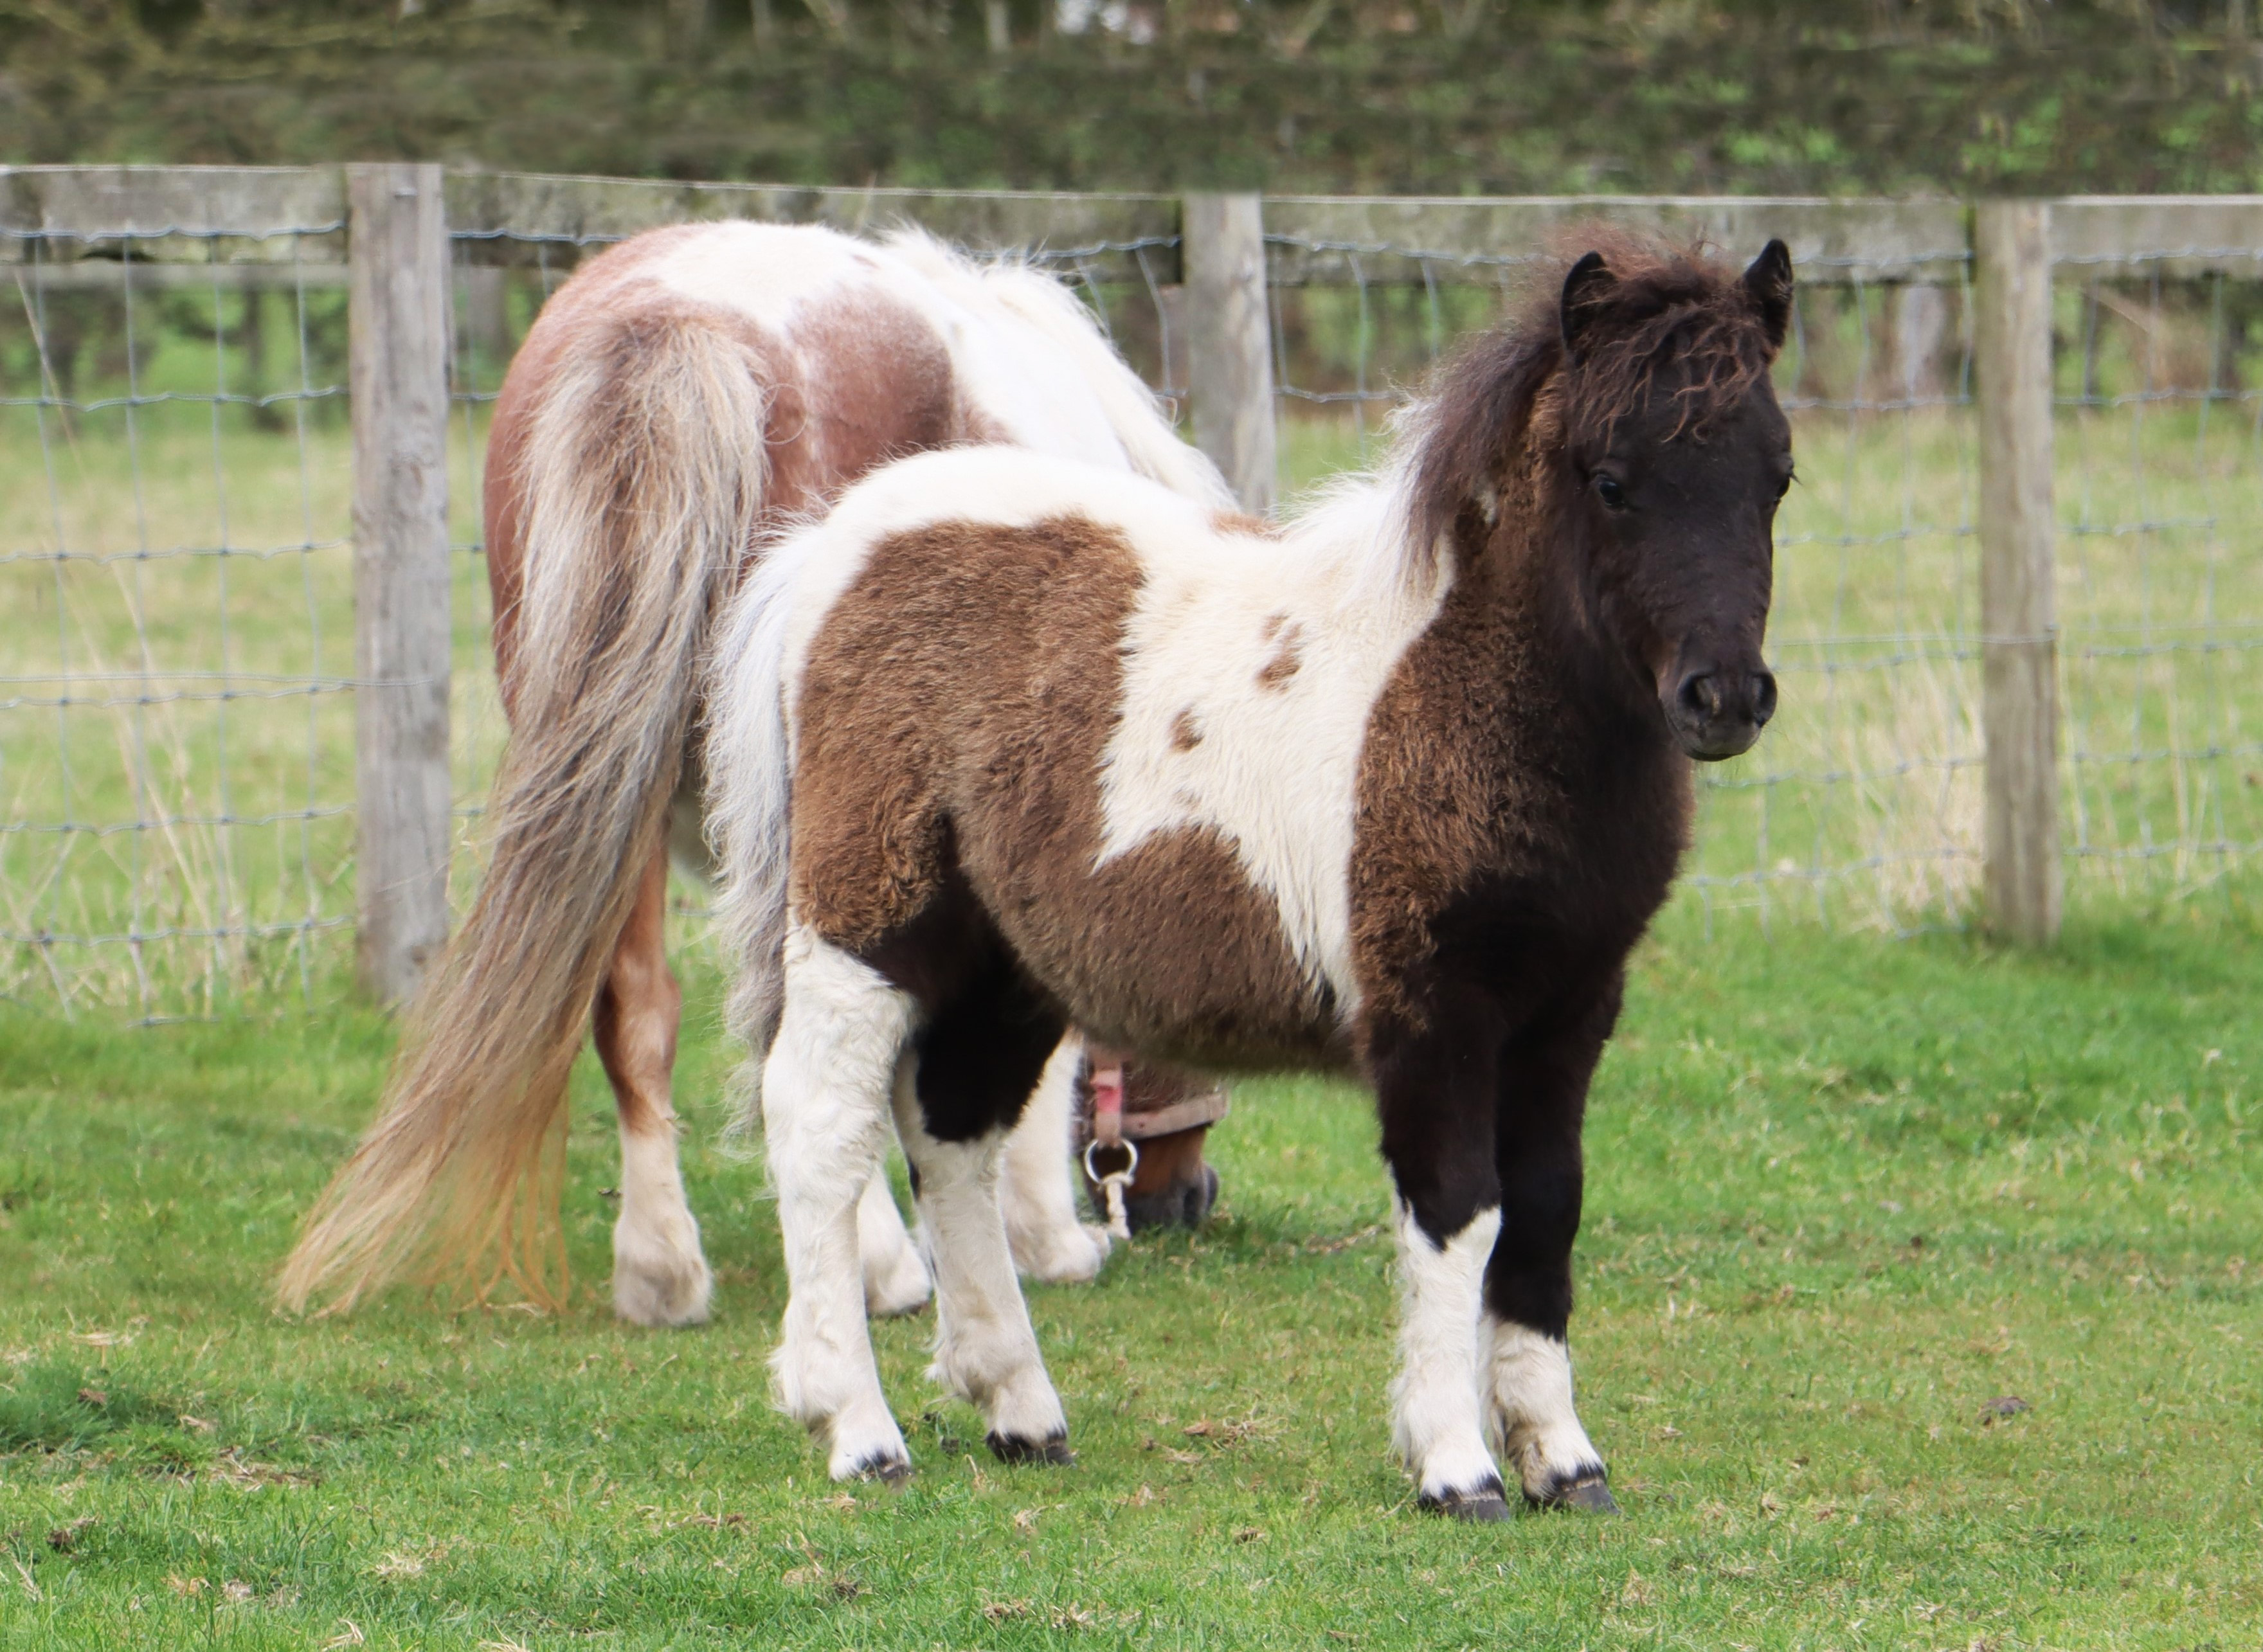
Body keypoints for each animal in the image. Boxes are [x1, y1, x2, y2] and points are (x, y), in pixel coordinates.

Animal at [285, 218, 1240, 1322]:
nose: (1187, 1196)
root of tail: (671, 315)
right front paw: (1041, 1236)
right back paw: (880, 1271)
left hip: (613, 780)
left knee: (638, 1007)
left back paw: (663, 1271)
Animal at [715, 237, 1792, 1511]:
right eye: (1612, 480)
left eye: (1777, 478)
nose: (1724, 698)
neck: (1468, 688)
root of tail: (831, 550)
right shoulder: (1432, 1008)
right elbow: (1457, 1210)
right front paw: (1456, 1464)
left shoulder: (1571, 1009)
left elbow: (1544, 1211)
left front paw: (1563, 1458)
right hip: (870, 920)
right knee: (821, 1122)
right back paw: (858, 1428)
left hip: (1005, 964)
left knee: (951, 1131)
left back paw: (1019, 1409)